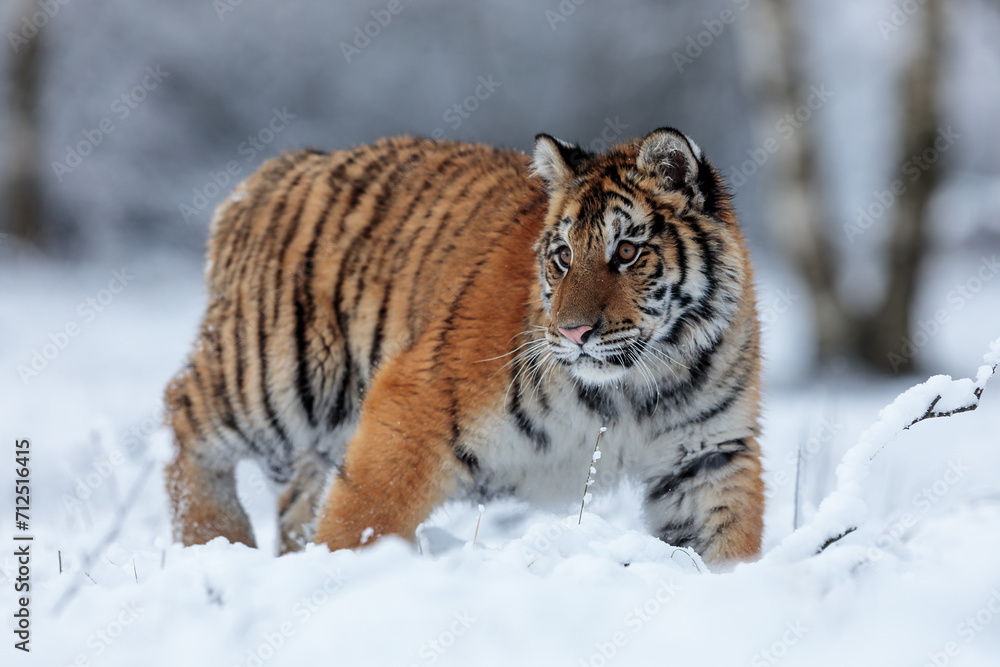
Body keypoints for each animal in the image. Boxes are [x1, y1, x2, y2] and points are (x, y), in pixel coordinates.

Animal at [164, 127, 765, 566]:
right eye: (564, 255)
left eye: (627, 252)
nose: (573, 332)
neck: (629, 389)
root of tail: (271, 172)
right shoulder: (414, 402)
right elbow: (361, 517)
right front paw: (335, 579)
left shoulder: (709, 453)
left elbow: (726, 541)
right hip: (276, 377)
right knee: (180, 411)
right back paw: (212, 542)